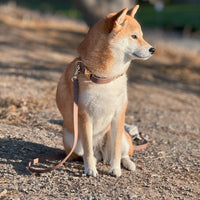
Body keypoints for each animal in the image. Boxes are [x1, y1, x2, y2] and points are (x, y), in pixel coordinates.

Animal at [56, 4, 155, 177]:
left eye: (141, 36)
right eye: (134, 36)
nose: (153, 49)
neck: (106, 78)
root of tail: (101, 152)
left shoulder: (118, 114)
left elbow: (116, 151)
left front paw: (115, 169)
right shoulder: (84, 116)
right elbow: (88, 150)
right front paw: (90, 169)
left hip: (121, 136)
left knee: (123, 153)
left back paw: (128, 164)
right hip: (72, 140)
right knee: (87, 153)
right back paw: (94, 161)